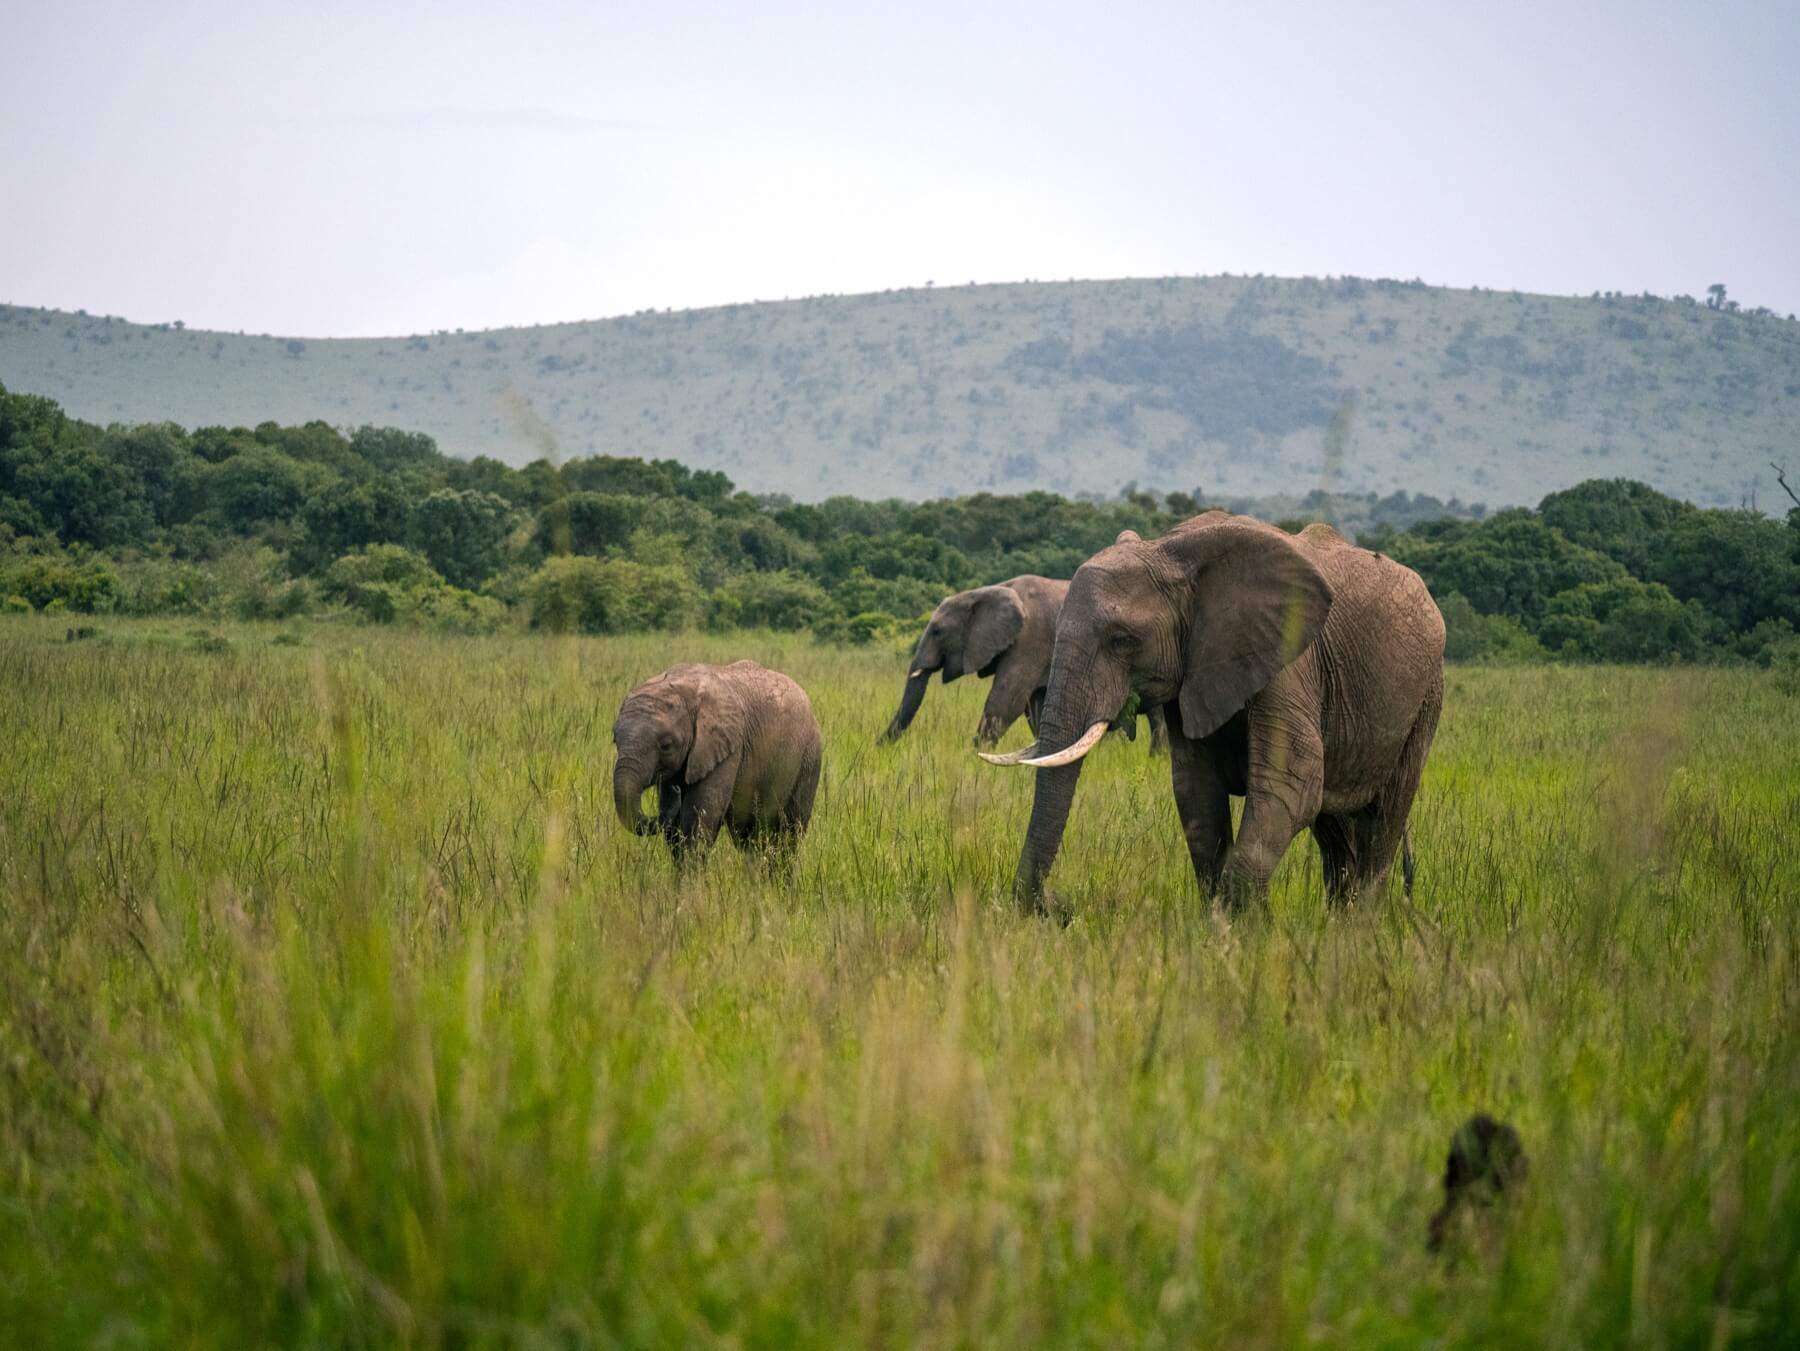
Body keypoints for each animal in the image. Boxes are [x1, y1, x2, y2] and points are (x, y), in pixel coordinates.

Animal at [612, 660, 822, 860]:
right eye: (615, 740)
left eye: (666, 745)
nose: (676, 791)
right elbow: (676, 832)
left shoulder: (728, 748)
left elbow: (700, 817)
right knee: (751, 837)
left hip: (809, 757)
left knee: (789, 831)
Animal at [880, 575, 1168, 752]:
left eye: (937, 631)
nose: (878, 747)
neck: (991, 590)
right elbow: (1036, 706)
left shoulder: (1030, 639)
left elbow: (1007, 700)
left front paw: (976, 756)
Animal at [983, 513, 1445, 912]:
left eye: (1121, 640)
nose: (1059, 905)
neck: (1171, 551)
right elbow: (1197, 794)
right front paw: (1225, 925)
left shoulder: (1291, 661)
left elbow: (1291, 786)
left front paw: (1247, 931)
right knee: (1335, 833)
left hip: (1426, 698)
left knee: (1383, 820)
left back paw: (1356, 929)